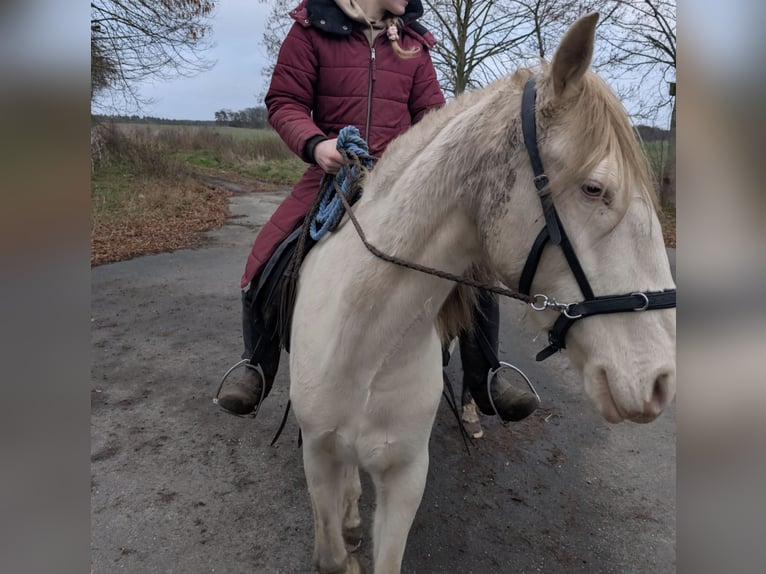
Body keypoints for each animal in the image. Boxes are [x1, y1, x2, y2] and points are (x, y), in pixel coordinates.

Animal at [288, 13, 680, 574]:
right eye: (594, 189)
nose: (661, 380)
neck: (365, 338)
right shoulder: (317, 456)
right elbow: (332, 551)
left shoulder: (404, 473)